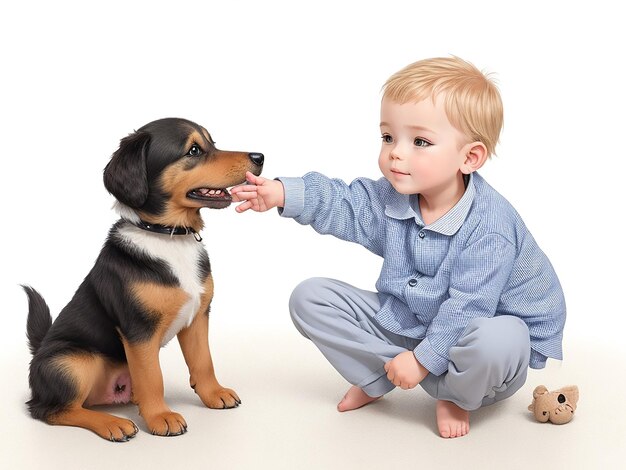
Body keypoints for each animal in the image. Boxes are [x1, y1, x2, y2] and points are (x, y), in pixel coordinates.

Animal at [23, 116, 264, 440]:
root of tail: (38, 353)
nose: (260, 157)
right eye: (194, 150)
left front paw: (214, 394)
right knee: (52, 410)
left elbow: (203, 361)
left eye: (212, 143)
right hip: (72, 361)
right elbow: (152, 377)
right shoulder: (139, 330)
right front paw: (161, 416)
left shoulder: (199, 317)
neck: (170, 236)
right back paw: (114, 424)